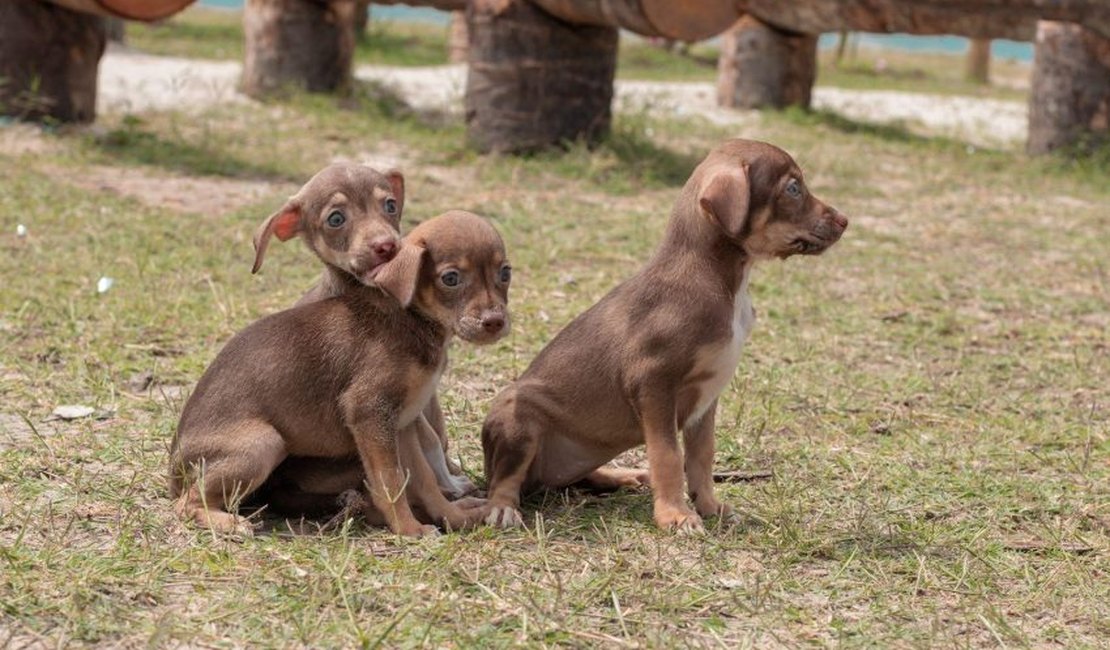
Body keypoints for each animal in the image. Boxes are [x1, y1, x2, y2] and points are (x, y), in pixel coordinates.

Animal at [167, 209, 510, 534]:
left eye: (505, 273)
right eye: (450, 278)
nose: (495, 321)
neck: (412, 319)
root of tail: (173, 469)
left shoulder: (403, 424)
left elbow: (424, 478)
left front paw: (453, 518)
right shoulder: (368, 413)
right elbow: (391, 481)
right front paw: (408, 529)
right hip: (262, 443)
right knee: (185, 503)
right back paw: (228, 522)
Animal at [479, 139, 848, 527]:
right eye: (793, 188)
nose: (845, 221)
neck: (724, 283)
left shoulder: (706, 400)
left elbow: (701, 456)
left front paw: (710, 507)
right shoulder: (653, 383)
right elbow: (668, 455)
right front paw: (676, 515)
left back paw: (624, 475)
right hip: (517, 418)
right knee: (505, 480)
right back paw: (503, 508)